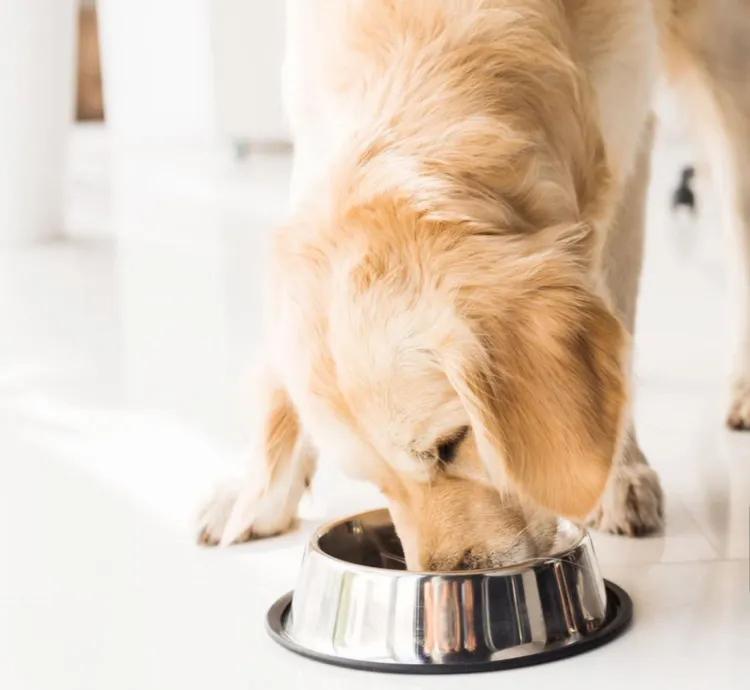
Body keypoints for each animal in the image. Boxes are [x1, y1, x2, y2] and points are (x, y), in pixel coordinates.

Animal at [198, 1, 750, 568]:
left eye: (452, 443)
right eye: (375, 481)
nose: (444, 577)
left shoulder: (621, 127)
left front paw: (619, 474)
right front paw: (256, 491)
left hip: (723, 54)